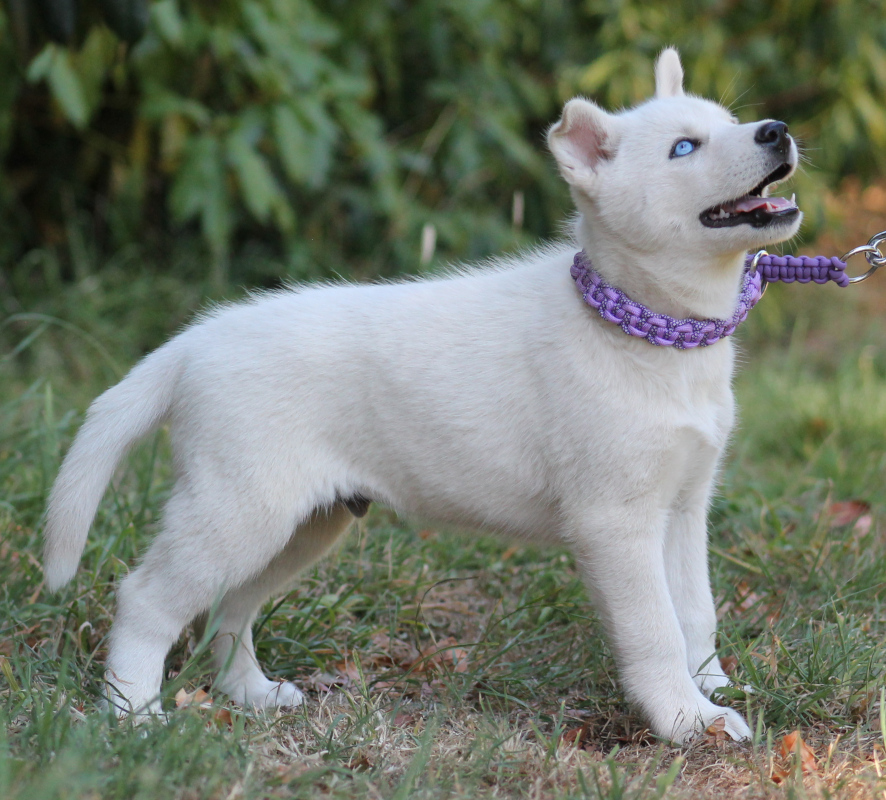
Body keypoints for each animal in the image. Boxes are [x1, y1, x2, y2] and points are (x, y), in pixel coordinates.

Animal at [43, 49, 801, 743]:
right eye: (684, 147)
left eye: (728, 123)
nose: (778, 131)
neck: (649, 328)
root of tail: (194, 343)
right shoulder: (616, 522)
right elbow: (655, 629)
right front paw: (686, 721)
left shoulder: (685, 507)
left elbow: (695, 611)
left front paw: (714, 688)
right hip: (239, 512)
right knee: (147, 598)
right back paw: (131, 711)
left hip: (300, 524)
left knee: (229, 609)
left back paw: (249, 695)